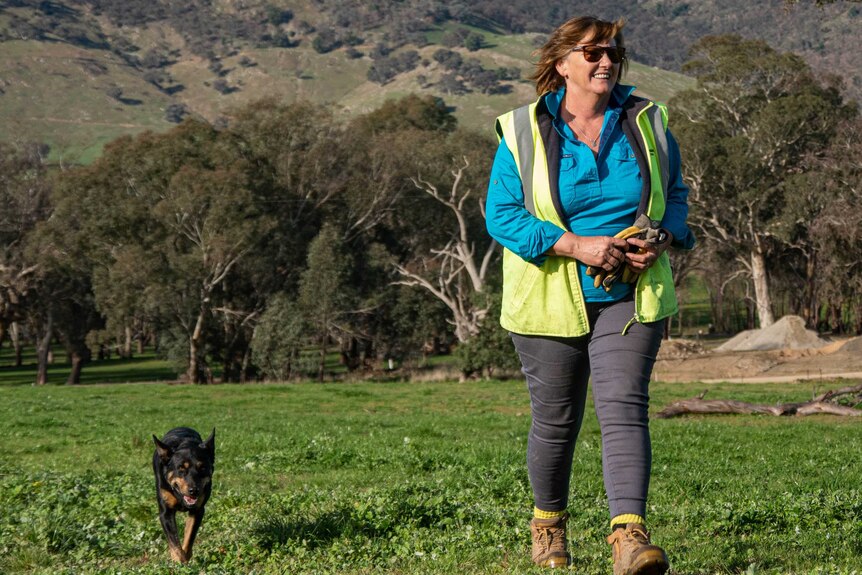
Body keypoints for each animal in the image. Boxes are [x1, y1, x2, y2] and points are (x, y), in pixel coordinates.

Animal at [152, 428, 214, 568]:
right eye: (181, 469)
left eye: (202, 468)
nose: (194, 491)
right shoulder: (165, 513)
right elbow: (174, 542)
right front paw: (179, 562)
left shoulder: (198, 510)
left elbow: (189, 536)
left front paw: (186, 558)